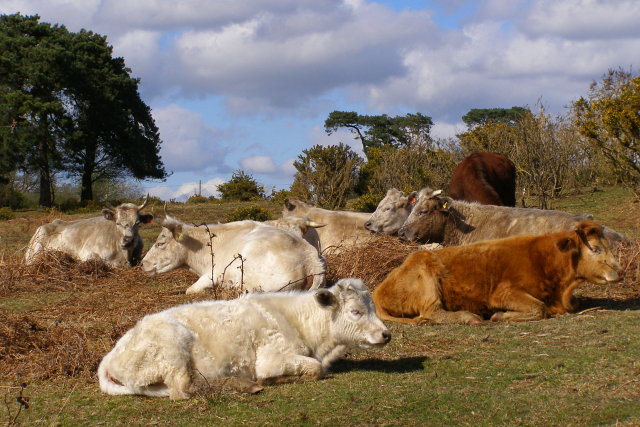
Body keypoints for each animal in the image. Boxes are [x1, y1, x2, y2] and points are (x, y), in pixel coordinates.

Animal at [97, 280, 392, 400]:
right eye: (355, 311)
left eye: (373, 307)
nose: (386, 334)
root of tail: (112, 354)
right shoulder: (271, 358)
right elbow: (314, 368)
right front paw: (273, 380)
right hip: (174, 350)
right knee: (182, 391)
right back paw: (246, 385)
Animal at [372, 221, 624, 324]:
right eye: (597, 248)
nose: (620, 271)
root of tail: (378, 291)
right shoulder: (502, 293)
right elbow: (539, 308)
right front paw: (500, 316)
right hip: (426, 275)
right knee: (432, 313)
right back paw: (468, 317)